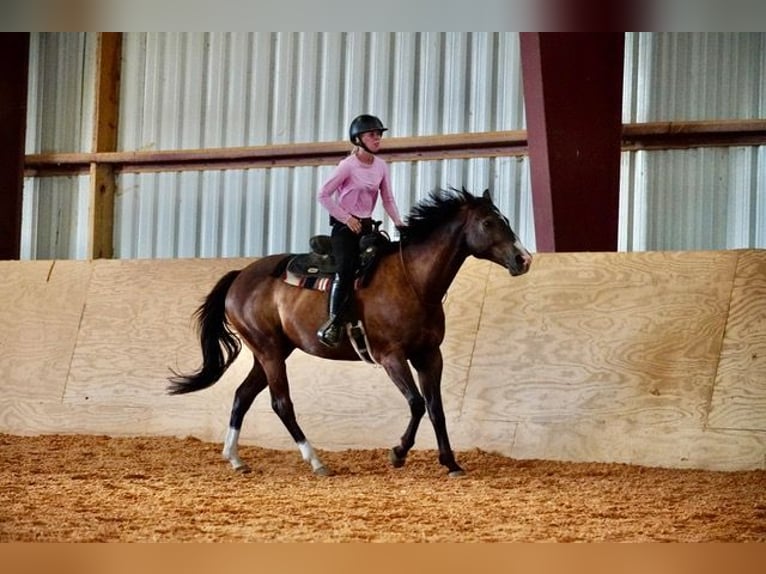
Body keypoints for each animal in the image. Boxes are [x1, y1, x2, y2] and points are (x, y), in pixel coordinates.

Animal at [168, 187, 532, 477]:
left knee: (243, 395)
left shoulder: (429, 355)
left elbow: (435, 407)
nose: (523, 259)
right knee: (281, 403)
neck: (413, 280)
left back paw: (235, 458)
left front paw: (451, 463)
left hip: (270, 352)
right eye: (488, 223)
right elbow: (416, 403)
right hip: (269, 352)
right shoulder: (390, 356)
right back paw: (316, 461)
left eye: (505, 220)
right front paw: (398, 454)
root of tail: (240, 276)